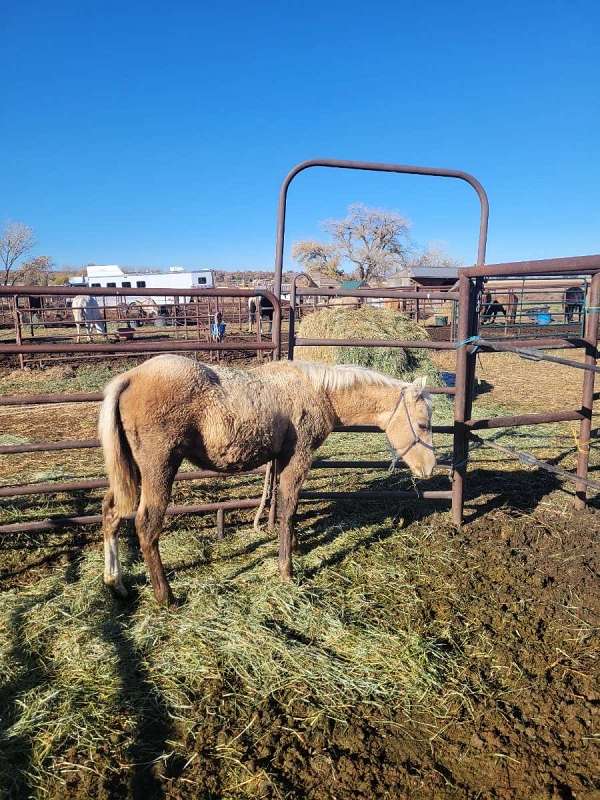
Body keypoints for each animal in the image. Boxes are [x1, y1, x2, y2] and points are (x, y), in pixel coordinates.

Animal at [98, 358, 436, 608]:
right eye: (422, 424)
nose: (429, 468)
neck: (316, 391)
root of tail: (128, 378)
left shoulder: (279, 459)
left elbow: (283, 503)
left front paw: (295, 545)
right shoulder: (298, 457)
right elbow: (288, 508)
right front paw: (287, 571)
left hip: (130, 472)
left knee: (111, 512)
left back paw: (116, 583)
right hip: (159, 470)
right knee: (146, 525)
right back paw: (166, 596)